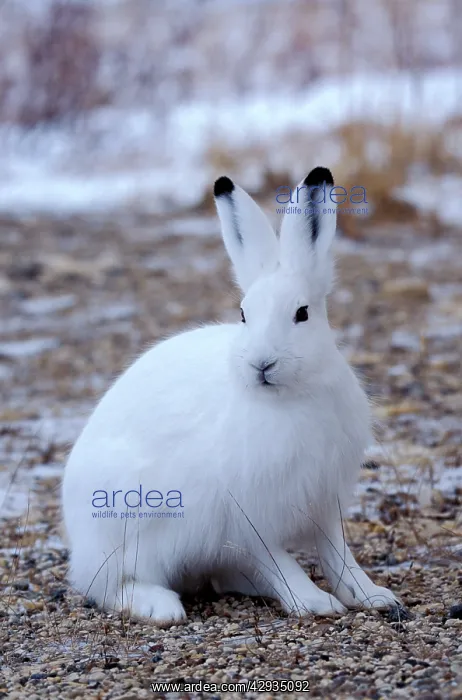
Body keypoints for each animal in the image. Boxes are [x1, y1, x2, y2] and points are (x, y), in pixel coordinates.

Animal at [62, 166, 400, 626]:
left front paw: (372, 596)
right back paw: (159, 605)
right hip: (128, 522)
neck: (288, 398)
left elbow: (338, 553)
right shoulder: (243, 514)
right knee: (108, 585)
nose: (262, 363)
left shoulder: (323, 499)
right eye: (243, 315)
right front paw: (313, 602)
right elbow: (276, 558)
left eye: (302, 313)